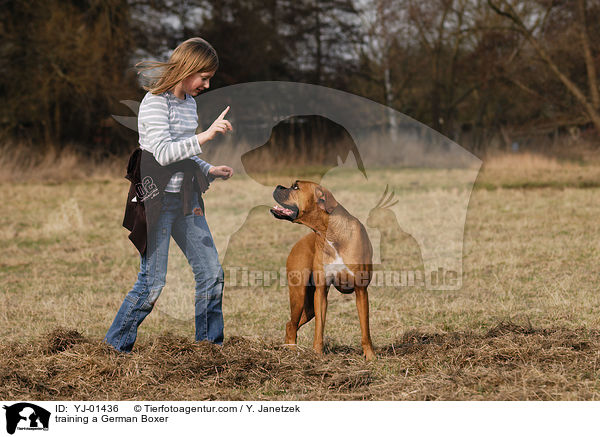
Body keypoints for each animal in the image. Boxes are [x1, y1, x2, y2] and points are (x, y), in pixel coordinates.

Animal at [270, 179, 376, 360]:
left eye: (296, 187)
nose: (278, 186)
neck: (330, 233)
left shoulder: (361, 291)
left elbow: (365, 330)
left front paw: (370, 357)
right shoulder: (321, 292)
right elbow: (319, 328)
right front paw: (317, 354)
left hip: (308, 306)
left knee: (291, 324)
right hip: (299, 295)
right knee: (291, 325)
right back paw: (291, 352)